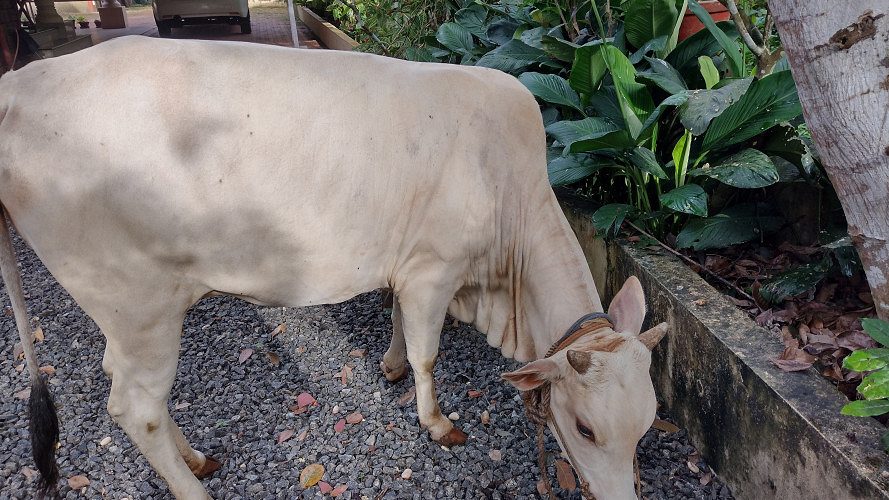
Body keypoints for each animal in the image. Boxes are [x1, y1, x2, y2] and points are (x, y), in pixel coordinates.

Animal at [0, 36, 668, 499]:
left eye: (647, 428)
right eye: (584, 428)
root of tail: (20, 83)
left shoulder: (409, 264)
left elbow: (399, 325)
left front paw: (390, 366)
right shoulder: (434, 269)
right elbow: (429, 354)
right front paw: (436, 423)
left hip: (127, 314)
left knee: (128, 388)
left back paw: (195, 460)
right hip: (140, 306)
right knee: (135, 409)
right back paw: (192, 486)